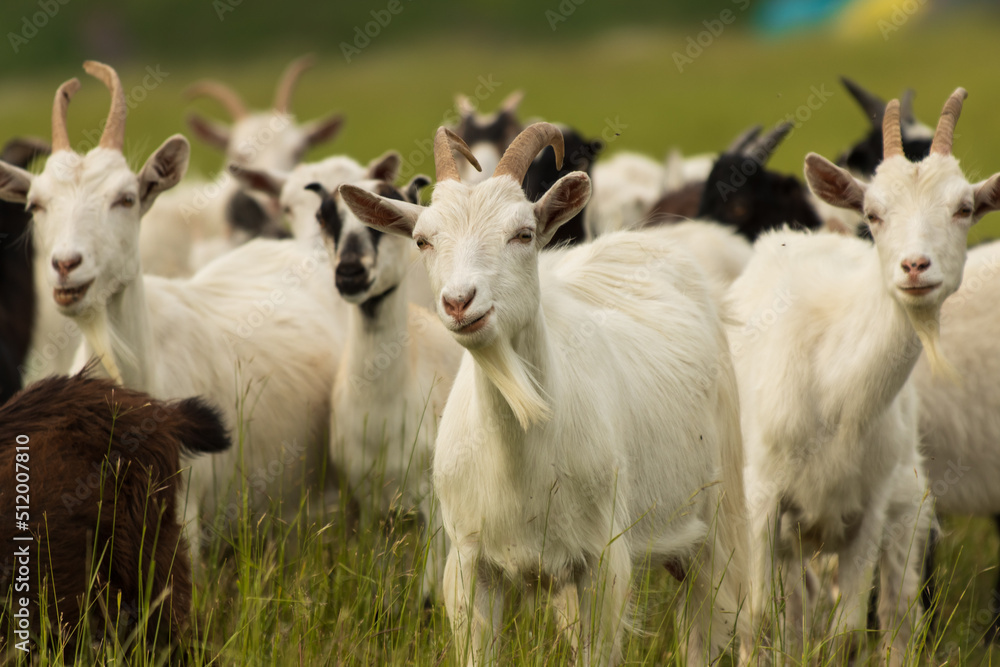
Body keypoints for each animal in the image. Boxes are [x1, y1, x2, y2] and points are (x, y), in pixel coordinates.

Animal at [340, 123, 750, 666]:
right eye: (423, 241)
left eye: (523, 234)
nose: (459, 302)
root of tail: (640, 242)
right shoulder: (469, 566)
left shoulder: (601, 561)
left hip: (714, 521)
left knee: (705, 627)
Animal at [731, 89, 1000, 665]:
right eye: (873, 214)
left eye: (964, 208)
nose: (915, 267)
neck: (835, 389)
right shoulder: (761, 499)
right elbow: (757, 619)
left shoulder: (870, 510)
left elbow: (848, 634)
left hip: (900, 507)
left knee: (894, 615)